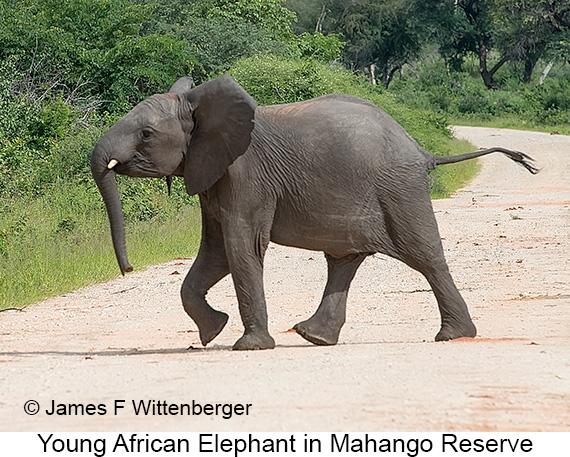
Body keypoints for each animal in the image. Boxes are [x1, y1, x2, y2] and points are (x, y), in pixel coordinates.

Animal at [90, 76, 536, 350]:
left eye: (146, 134)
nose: (127, 269)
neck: (202, 106)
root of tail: (422, 152)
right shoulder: (214, 174)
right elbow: (215, 252)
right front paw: (211, 331)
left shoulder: (244, 176)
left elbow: (240, 246)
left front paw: (247, 347)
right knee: (344, 260)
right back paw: (314, 337)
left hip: (398, 190)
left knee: (423, 254)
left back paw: (453, 337)